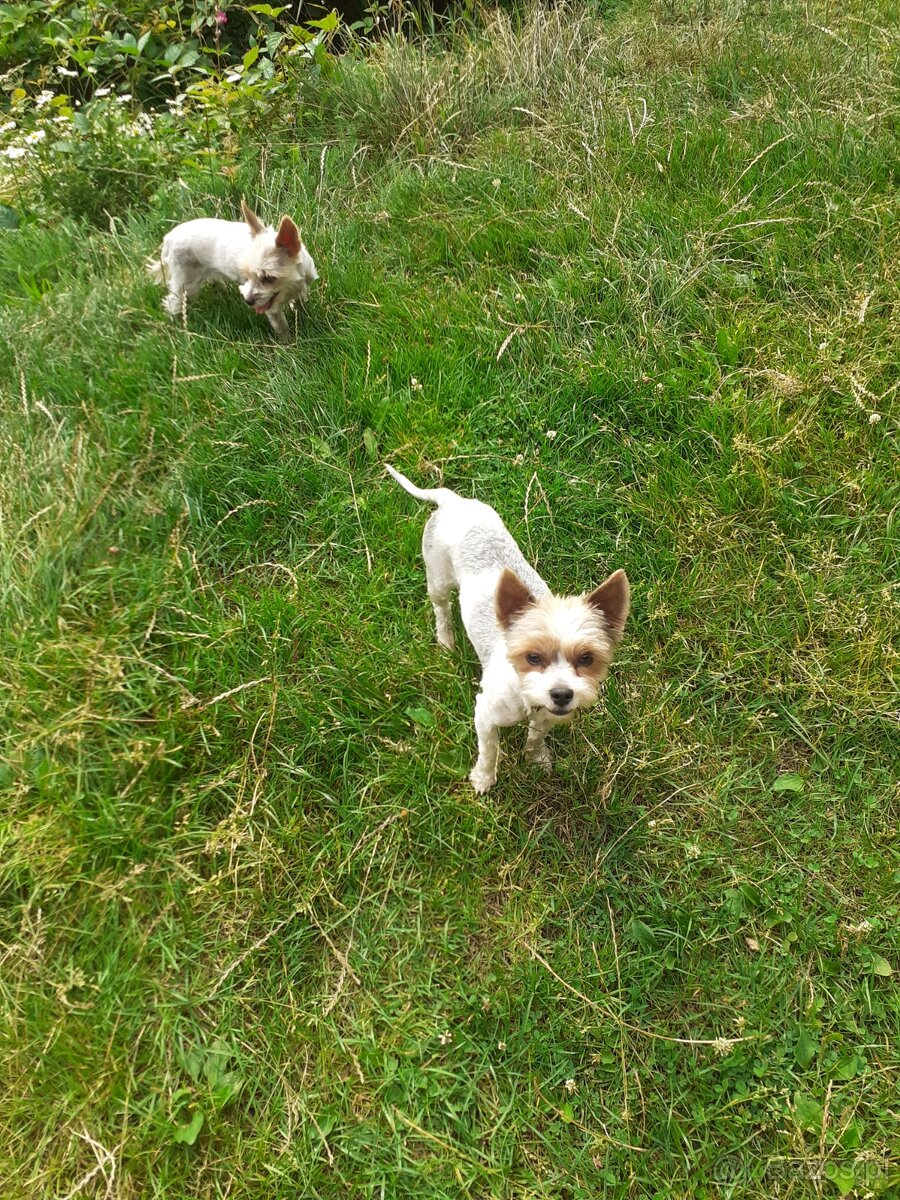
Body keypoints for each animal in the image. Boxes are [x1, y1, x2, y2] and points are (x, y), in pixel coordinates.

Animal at [148, 198, 316, 338]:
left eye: (269, 278)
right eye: (247, 276)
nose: (248, 301)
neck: (290, 287)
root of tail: (168, 238)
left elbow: (300, 304)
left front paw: (303, 317)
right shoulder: (271, 309)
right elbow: (282, 328)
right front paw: (288, 345)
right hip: (186, 283)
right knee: (173, 302)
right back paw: (176, 326)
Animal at [384, 463, 628, 792]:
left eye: (587, 659)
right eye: (533, 657)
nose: (561, 694)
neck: (525, 695)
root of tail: (453, 502)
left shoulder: (546, 717)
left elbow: (536, 737)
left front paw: (536, 758)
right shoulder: (485, 715)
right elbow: (489, 751)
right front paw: (483, 778)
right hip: (437, 576)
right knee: (441, 608)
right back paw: (446, 639)